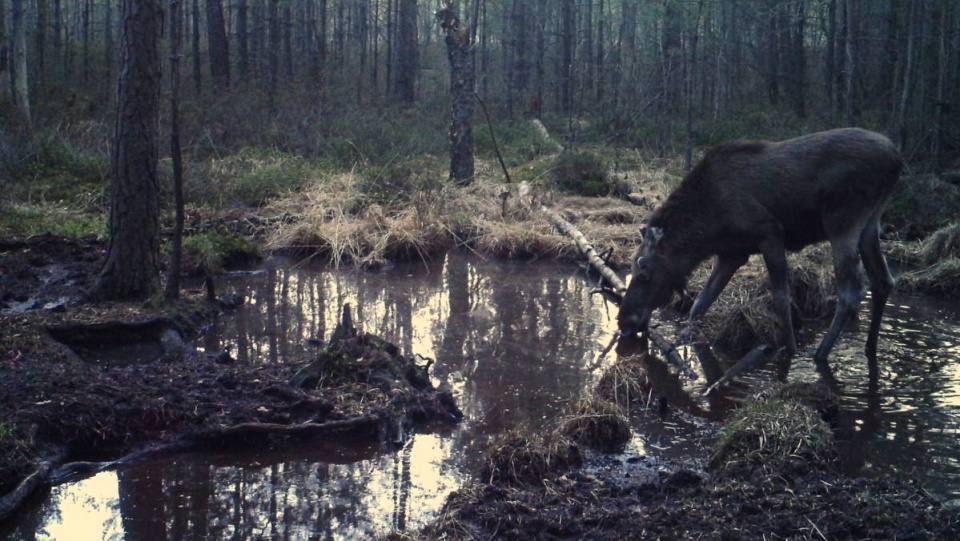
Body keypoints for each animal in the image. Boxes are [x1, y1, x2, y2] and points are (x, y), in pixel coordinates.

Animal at [620, 127, 904, 372]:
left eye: (643, 271)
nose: (624, 320)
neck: (708, 227)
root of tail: (896, 158)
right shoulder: (732, 254)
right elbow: (701, 302)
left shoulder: (769, 232)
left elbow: (781, 297)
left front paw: (789, 348)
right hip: (871, 222)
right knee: (882, 280)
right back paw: (870, 347)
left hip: (842, 221)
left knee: (851, 291)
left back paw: (820, 354)